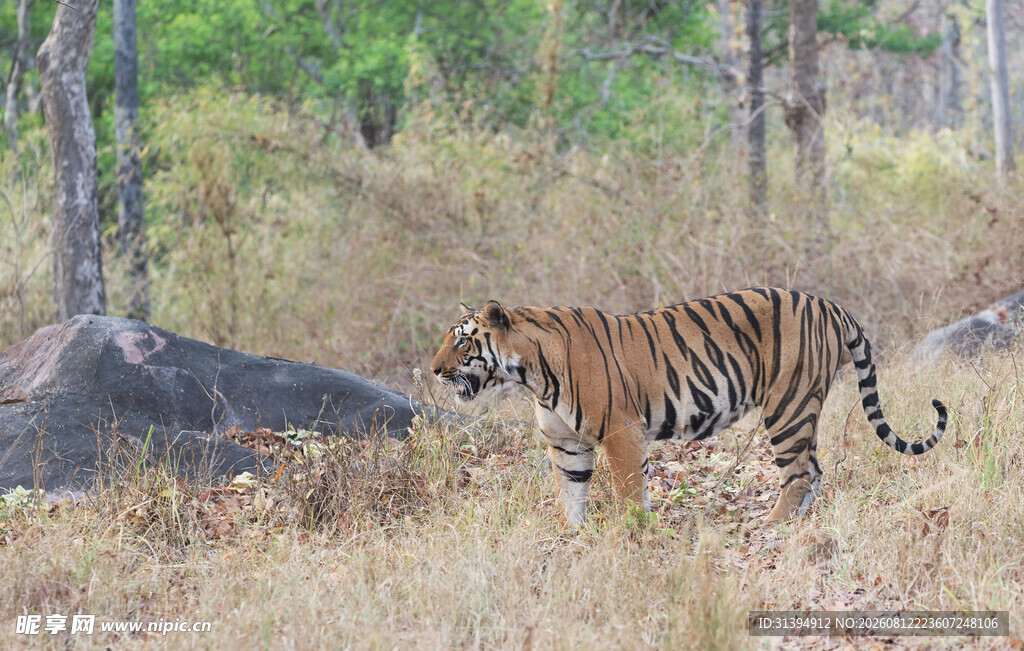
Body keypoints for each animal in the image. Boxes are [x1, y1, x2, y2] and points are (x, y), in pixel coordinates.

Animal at [430, 287, 947, 524]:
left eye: (462, 342)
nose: (434, 370)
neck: (532, 374)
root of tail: (831, 305)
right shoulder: (567, 444)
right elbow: (571, 493)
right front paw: (573, 534)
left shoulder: (619, 431)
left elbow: (628, 489)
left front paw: (635, 531)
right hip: (803, 409)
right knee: (815, 472)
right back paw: (798, 522)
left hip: (787, 406)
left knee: (800, 474)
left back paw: (774, 526)